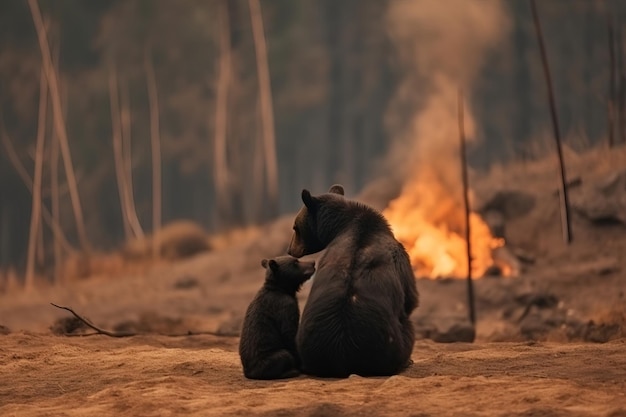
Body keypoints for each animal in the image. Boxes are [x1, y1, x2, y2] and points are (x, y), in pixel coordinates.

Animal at [288, 184, 420, 376]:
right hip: (394, 344)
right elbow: (410, 296)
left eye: (295, 228)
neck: (348, 222)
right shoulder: (400, 257)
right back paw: (407, 361)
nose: (290, 250)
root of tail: (343, 350)